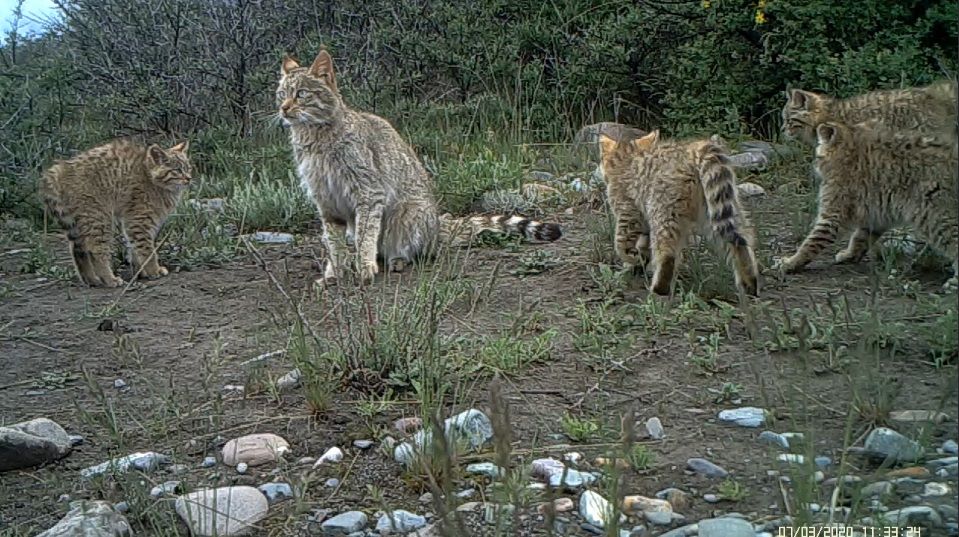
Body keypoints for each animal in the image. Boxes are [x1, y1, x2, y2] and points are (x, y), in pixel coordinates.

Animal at [40, 140, 192, 286]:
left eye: (188, 168)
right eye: (177, 170)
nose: (189, 178)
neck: (150, 176)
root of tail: (60, 169)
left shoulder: (135, 222)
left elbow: (134, 247)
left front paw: (140, 271)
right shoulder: (139, 220)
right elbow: (147, 249)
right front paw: (153, 270)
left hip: (80, 221)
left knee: (78, 250)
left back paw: (90, 279)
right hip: (99, 217)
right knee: (95, 250)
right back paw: (109, 279)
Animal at [278, 49, 564, 282]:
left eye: (301, 94)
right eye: (281, 94)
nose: (283, 108)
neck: (315, 141)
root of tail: (438, 223)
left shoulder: (368, 193)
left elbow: (365, 236)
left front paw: (364, 265)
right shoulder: (326, 202)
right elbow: (334, 243)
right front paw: (335, 272)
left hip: (408, 214)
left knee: (414, 250)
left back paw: (396, 260)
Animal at [596, 131, 760, 298]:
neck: (625, 160)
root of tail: (694, 150)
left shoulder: (628, 213)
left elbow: (621, 244)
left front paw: (632, 258)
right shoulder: (644, 222)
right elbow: (643, 245)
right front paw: (638, 263)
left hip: (664, 209)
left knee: (667, 253)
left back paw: (659, 288)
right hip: (720, 207)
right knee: (739, 242)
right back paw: (749, 284)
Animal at [776, 120, 956, 288]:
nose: (814, 164)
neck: (851, 149)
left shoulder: (833, 214)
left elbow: (811, 242)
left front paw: (791, 262)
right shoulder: (877, 214)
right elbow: (860, 237)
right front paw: (850, 255)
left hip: (939, 218)